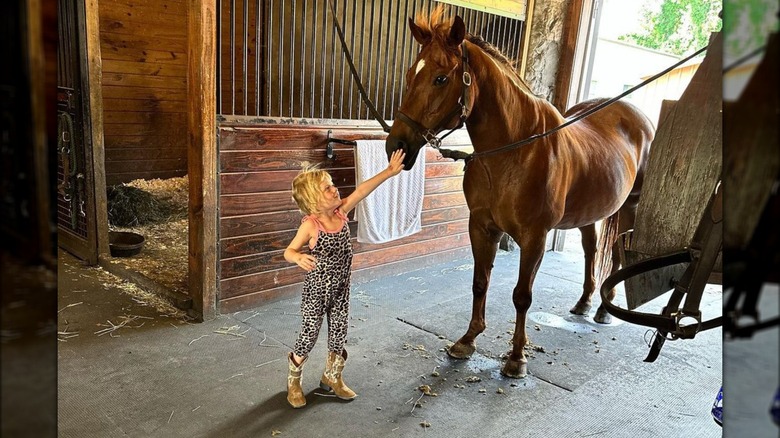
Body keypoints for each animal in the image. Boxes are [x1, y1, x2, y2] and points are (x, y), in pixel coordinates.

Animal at [386, 5, 656, 378]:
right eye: (412, 73)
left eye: (440, 78)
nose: (396, 145)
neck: (515, 151)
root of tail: (638, 117)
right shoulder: (481, 227)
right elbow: (480, 282)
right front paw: (467, 340)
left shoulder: (534, 237)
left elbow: (522, 296)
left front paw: (516, 357)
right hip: (590, 212)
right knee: (590, 249)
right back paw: (584, 303)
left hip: (629, 206)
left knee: (615, 251)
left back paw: (604, 307)